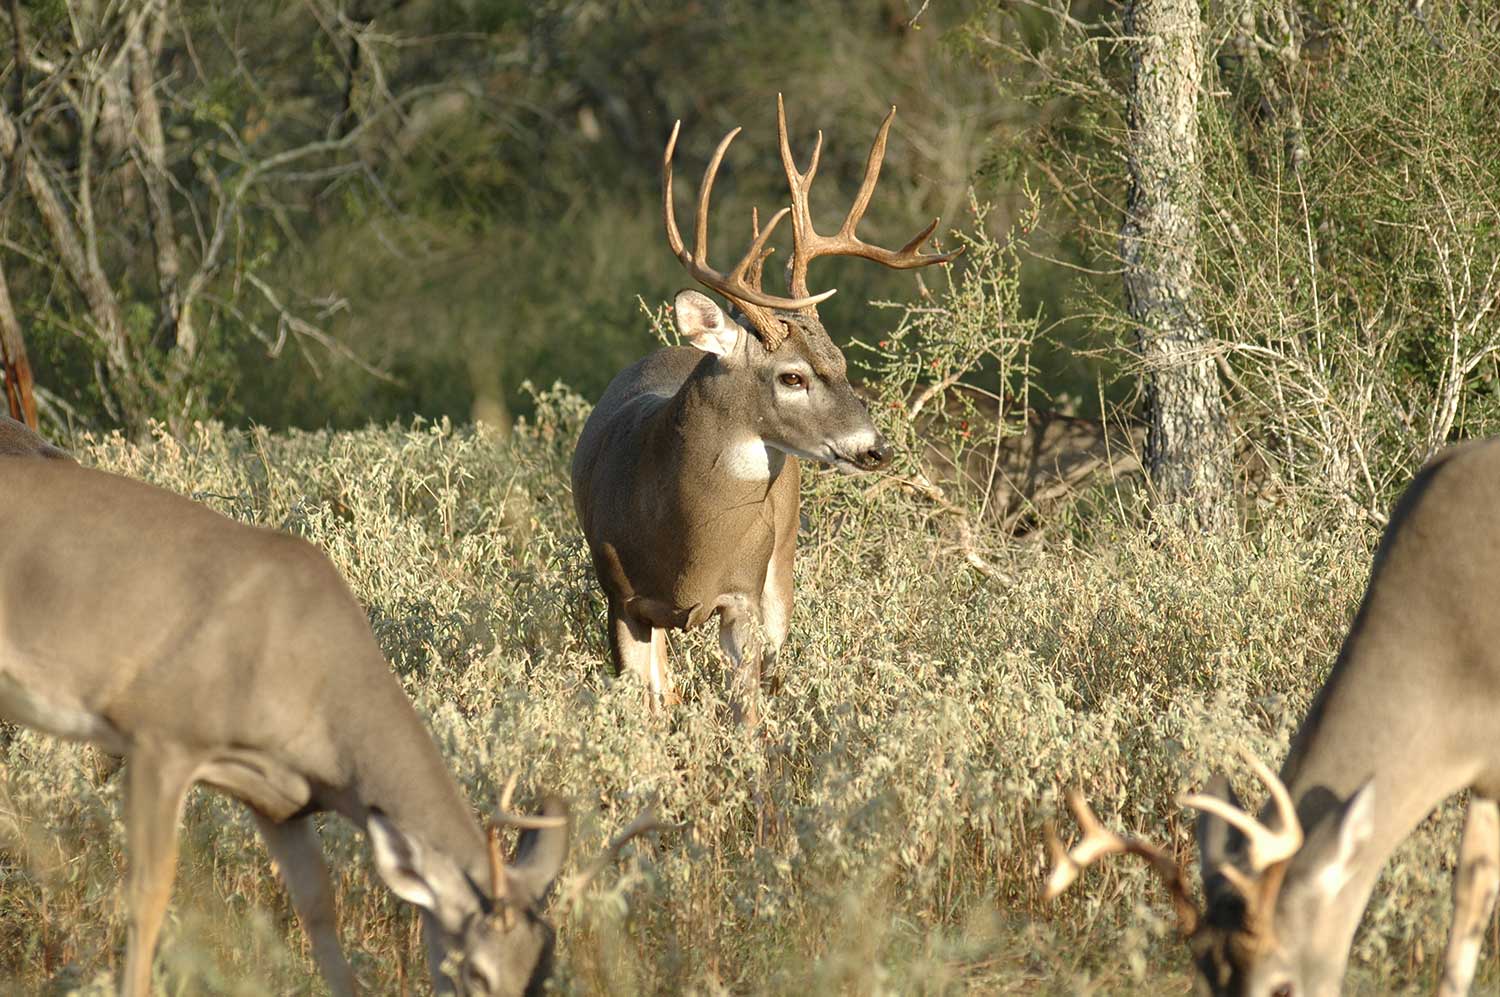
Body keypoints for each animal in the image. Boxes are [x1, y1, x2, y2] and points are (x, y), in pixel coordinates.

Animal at [0, 452, 651, 995]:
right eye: (475, 972)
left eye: (542, 972)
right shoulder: (162, 736)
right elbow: (147, 894)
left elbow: (318, 911)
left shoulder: (280, 799)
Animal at [573, 97, 960, 719]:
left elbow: (748, 711)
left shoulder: (745, 595)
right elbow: (645, 710)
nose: (877, 449)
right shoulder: (622, 599)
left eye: (842, 361)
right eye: (792, 375)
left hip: (783, 562)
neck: (684, 545)